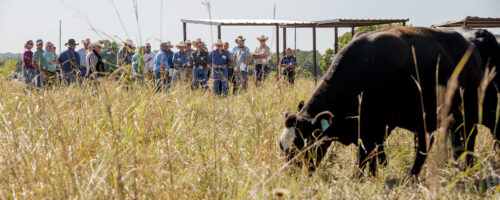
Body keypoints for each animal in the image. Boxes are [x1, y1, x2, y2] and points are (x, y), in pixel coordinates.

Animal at [280, 26, 482, 177]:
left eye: (301, 145)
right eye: (282, 146)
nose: (291, 174)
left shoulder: (373, 125)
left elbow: (366, 155)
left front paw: (360, 177)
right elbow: (374, 153)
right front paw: (374, 174)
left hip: (466, 108)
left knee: (467, 136)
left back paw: (464, 168)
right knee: (448, 140)